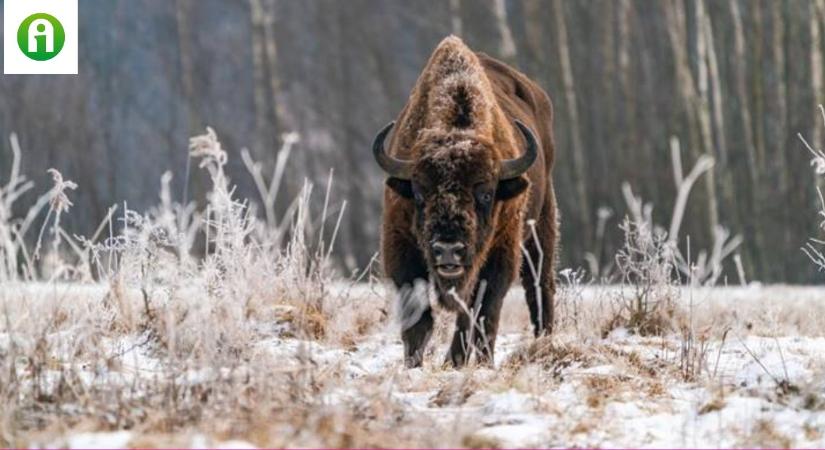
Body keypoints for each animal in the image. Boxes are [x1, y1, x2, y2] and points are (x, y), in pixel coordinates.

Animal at [374, 37, 560, 368]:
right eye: (419, 193)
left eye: (485, 194)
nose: (449, 249)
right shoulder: (401, 247)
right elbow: (420, 318)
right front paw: (415, 364)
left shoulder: (501, 252)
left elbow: (483, 313)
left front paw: (475, 364)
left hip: (541, 228)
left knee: (538, 287)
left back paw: (542, 343)